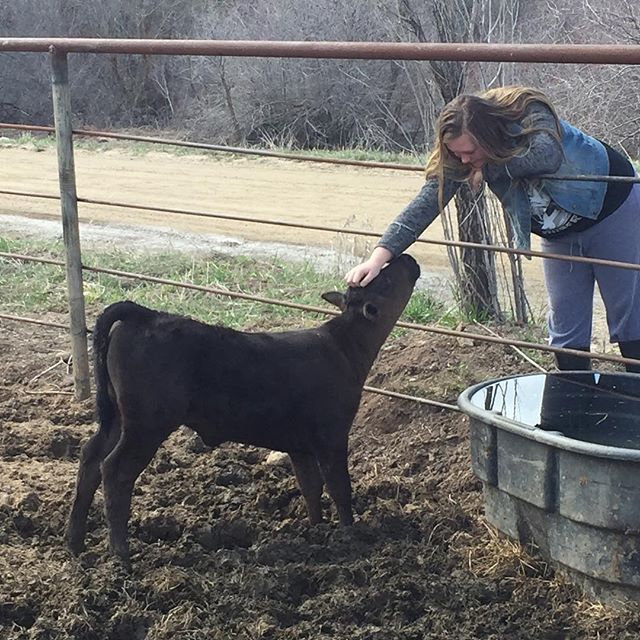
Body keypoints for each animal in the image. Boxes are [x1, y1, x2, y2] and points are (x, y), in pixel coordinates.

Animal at [66, 253, 420, 560]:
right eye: (386, 278)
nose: (407, 258)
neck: (343, 346)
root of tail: (145, 314)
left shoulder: (300, 445)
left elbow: (311, 487)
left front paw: (317, 531)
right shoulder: (332, 436)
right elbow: (339, 488)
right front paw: (350, 535)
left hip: (118, 417)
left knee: (91, 457)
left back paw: (75, 542)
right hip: (147, 423)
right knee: (115, 469)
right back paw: (121, 555)